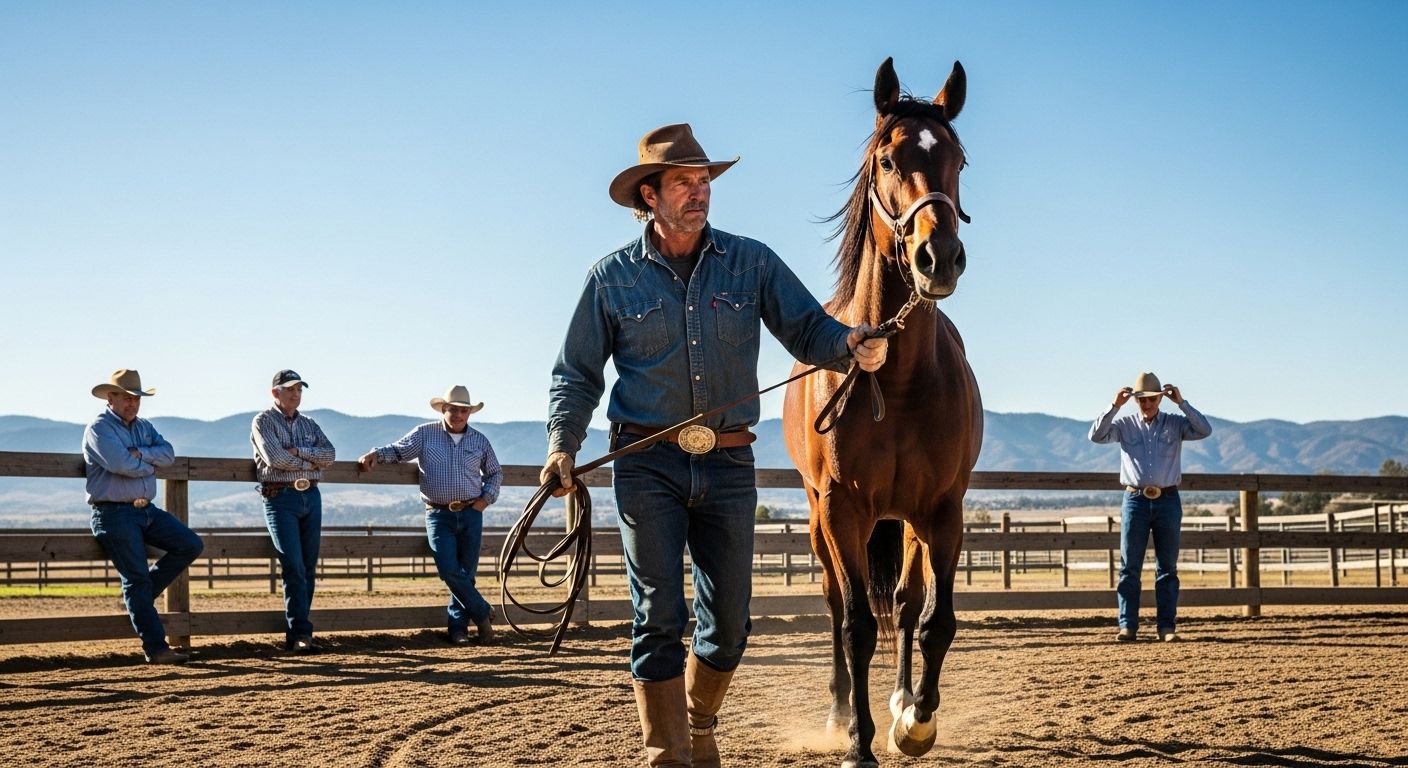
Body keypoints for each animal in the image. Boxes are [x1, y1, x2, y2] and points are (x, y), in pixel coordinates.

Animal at [782, 57, 983, 768]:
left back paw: (898, 703)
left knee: (903, 599)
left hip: (907, 521)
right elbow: (857, 627)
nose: (939, 256)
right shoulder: (843, 509)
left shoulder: (943, 510)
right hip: (821, 518)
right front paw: (859, 743)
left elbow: (933, 620)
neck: (892, 381)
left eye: (957, 158)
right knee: (837, 606)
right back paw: (843, 710)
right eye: (888, 159)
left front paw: (914, 723)